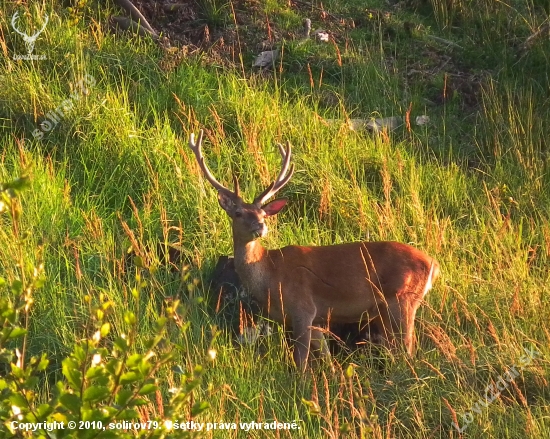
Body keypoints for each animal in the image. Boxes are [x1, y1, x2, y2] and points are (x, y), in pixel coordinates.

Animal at [190, 130, 440, 372]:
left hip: (402, 298)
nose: (260, 227)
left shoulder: (302, 308)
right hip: (386, 310)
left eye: (262, 214)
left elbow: (301, 362)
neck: (270, 276)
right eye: (238, 213)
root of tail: (433, 264)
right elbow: (327, 358)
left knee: (408, 348)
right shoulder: (316, 320)